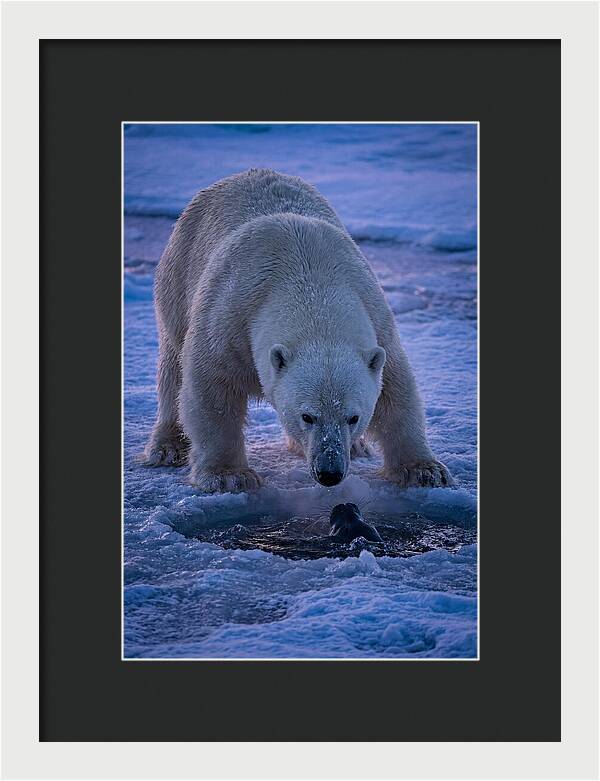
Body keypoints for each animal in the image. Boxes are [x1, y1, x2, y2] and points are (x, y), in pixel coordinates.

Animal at [143, 169, 452, 493]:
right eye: (308, 416)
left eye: (353, 417)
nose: (329, 472)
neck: (310, 278)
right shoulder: (229, 317)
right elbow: (212, 389)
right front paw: (229, 475)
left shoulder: (377, 320)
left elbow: (396, 390)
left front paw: (425, 470)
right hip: (178, 274)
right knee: (173, 365)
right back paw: (167, 447)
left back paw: (357, 448)